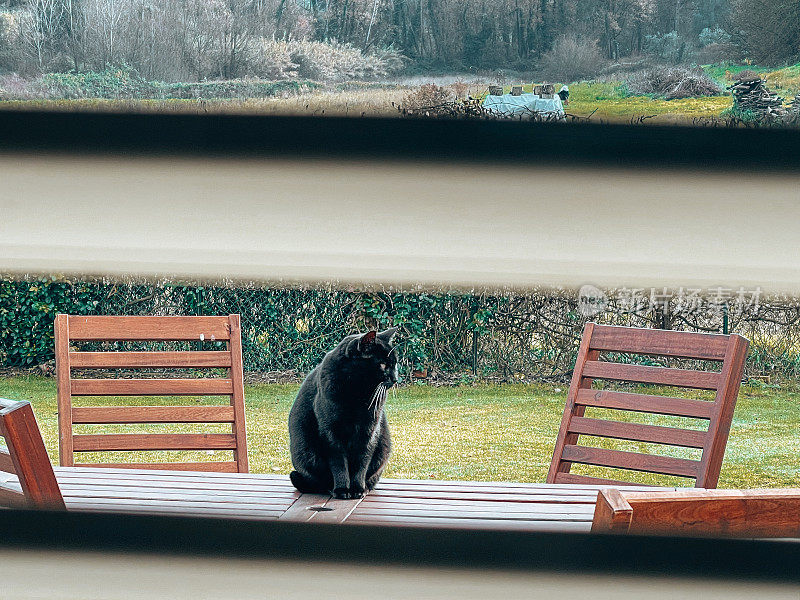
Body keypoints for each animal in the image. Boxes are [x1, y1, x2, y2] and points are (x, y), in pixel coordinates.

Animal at [290, 328, 398, 496]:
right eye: (382, 364)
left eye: (395, 364)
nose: (395, 378)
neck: (357, 394)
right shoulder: (331, 433)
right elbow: (339, 463)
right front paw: (342, 489)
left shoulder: (368, 431)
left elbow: (362, 461)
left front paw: (357, 489)